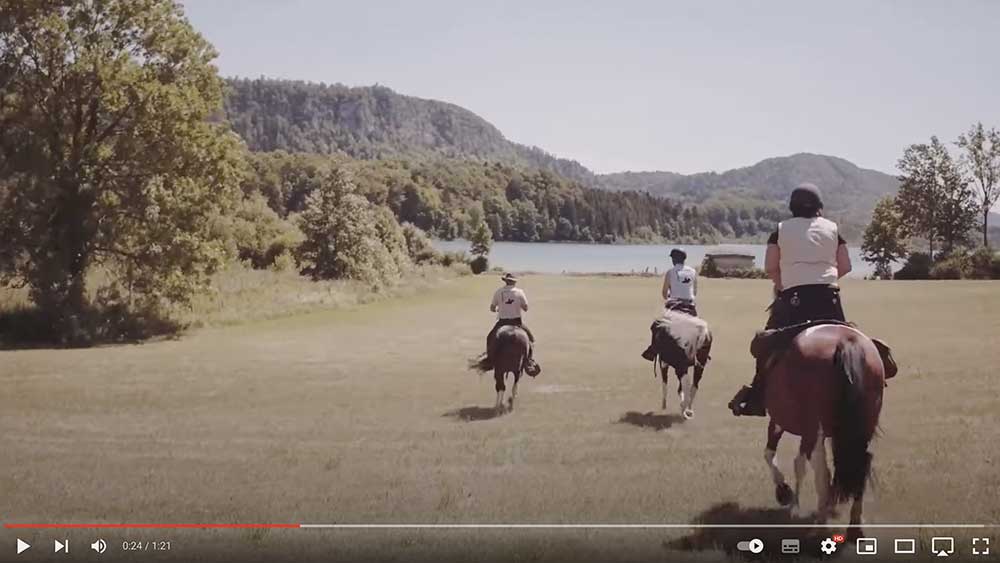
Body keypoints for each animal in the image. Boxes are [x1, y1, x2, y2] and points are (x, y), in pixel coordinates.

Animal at [760, 324, 888, 540]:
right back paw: (854, 526)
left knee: (822, 471)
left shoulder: (780, 422)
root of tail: (845, 343)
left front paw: (785, 493)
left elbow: (772, 455)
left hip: (816, 428)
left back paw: (820, 523)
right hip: (865, 425)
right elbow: (799, 462)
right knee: (862, 462)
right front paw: (794, 503)